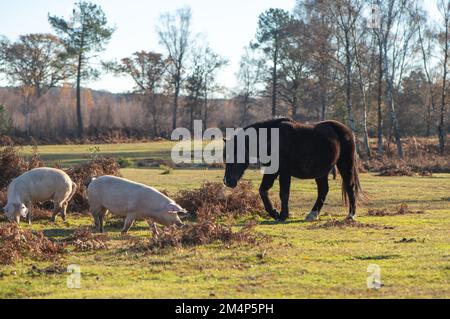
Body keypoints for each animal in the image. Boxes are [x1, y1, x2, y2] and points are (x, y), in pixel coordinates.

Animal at [223, 117, 364, 222]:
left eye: (234, 155)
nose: (227, 181)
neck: (271, 138)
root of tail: (347, 131)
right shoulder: (272, 171)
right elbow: (263, 190)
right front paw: (275, 213)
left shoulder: (283, 172)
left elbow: (283, 193)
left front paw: (282, 215)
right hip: (321, 172)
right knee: (323, 190)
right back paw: (312, 214)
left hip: (345, 165)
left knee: (350, 187)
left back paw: (351, 215)